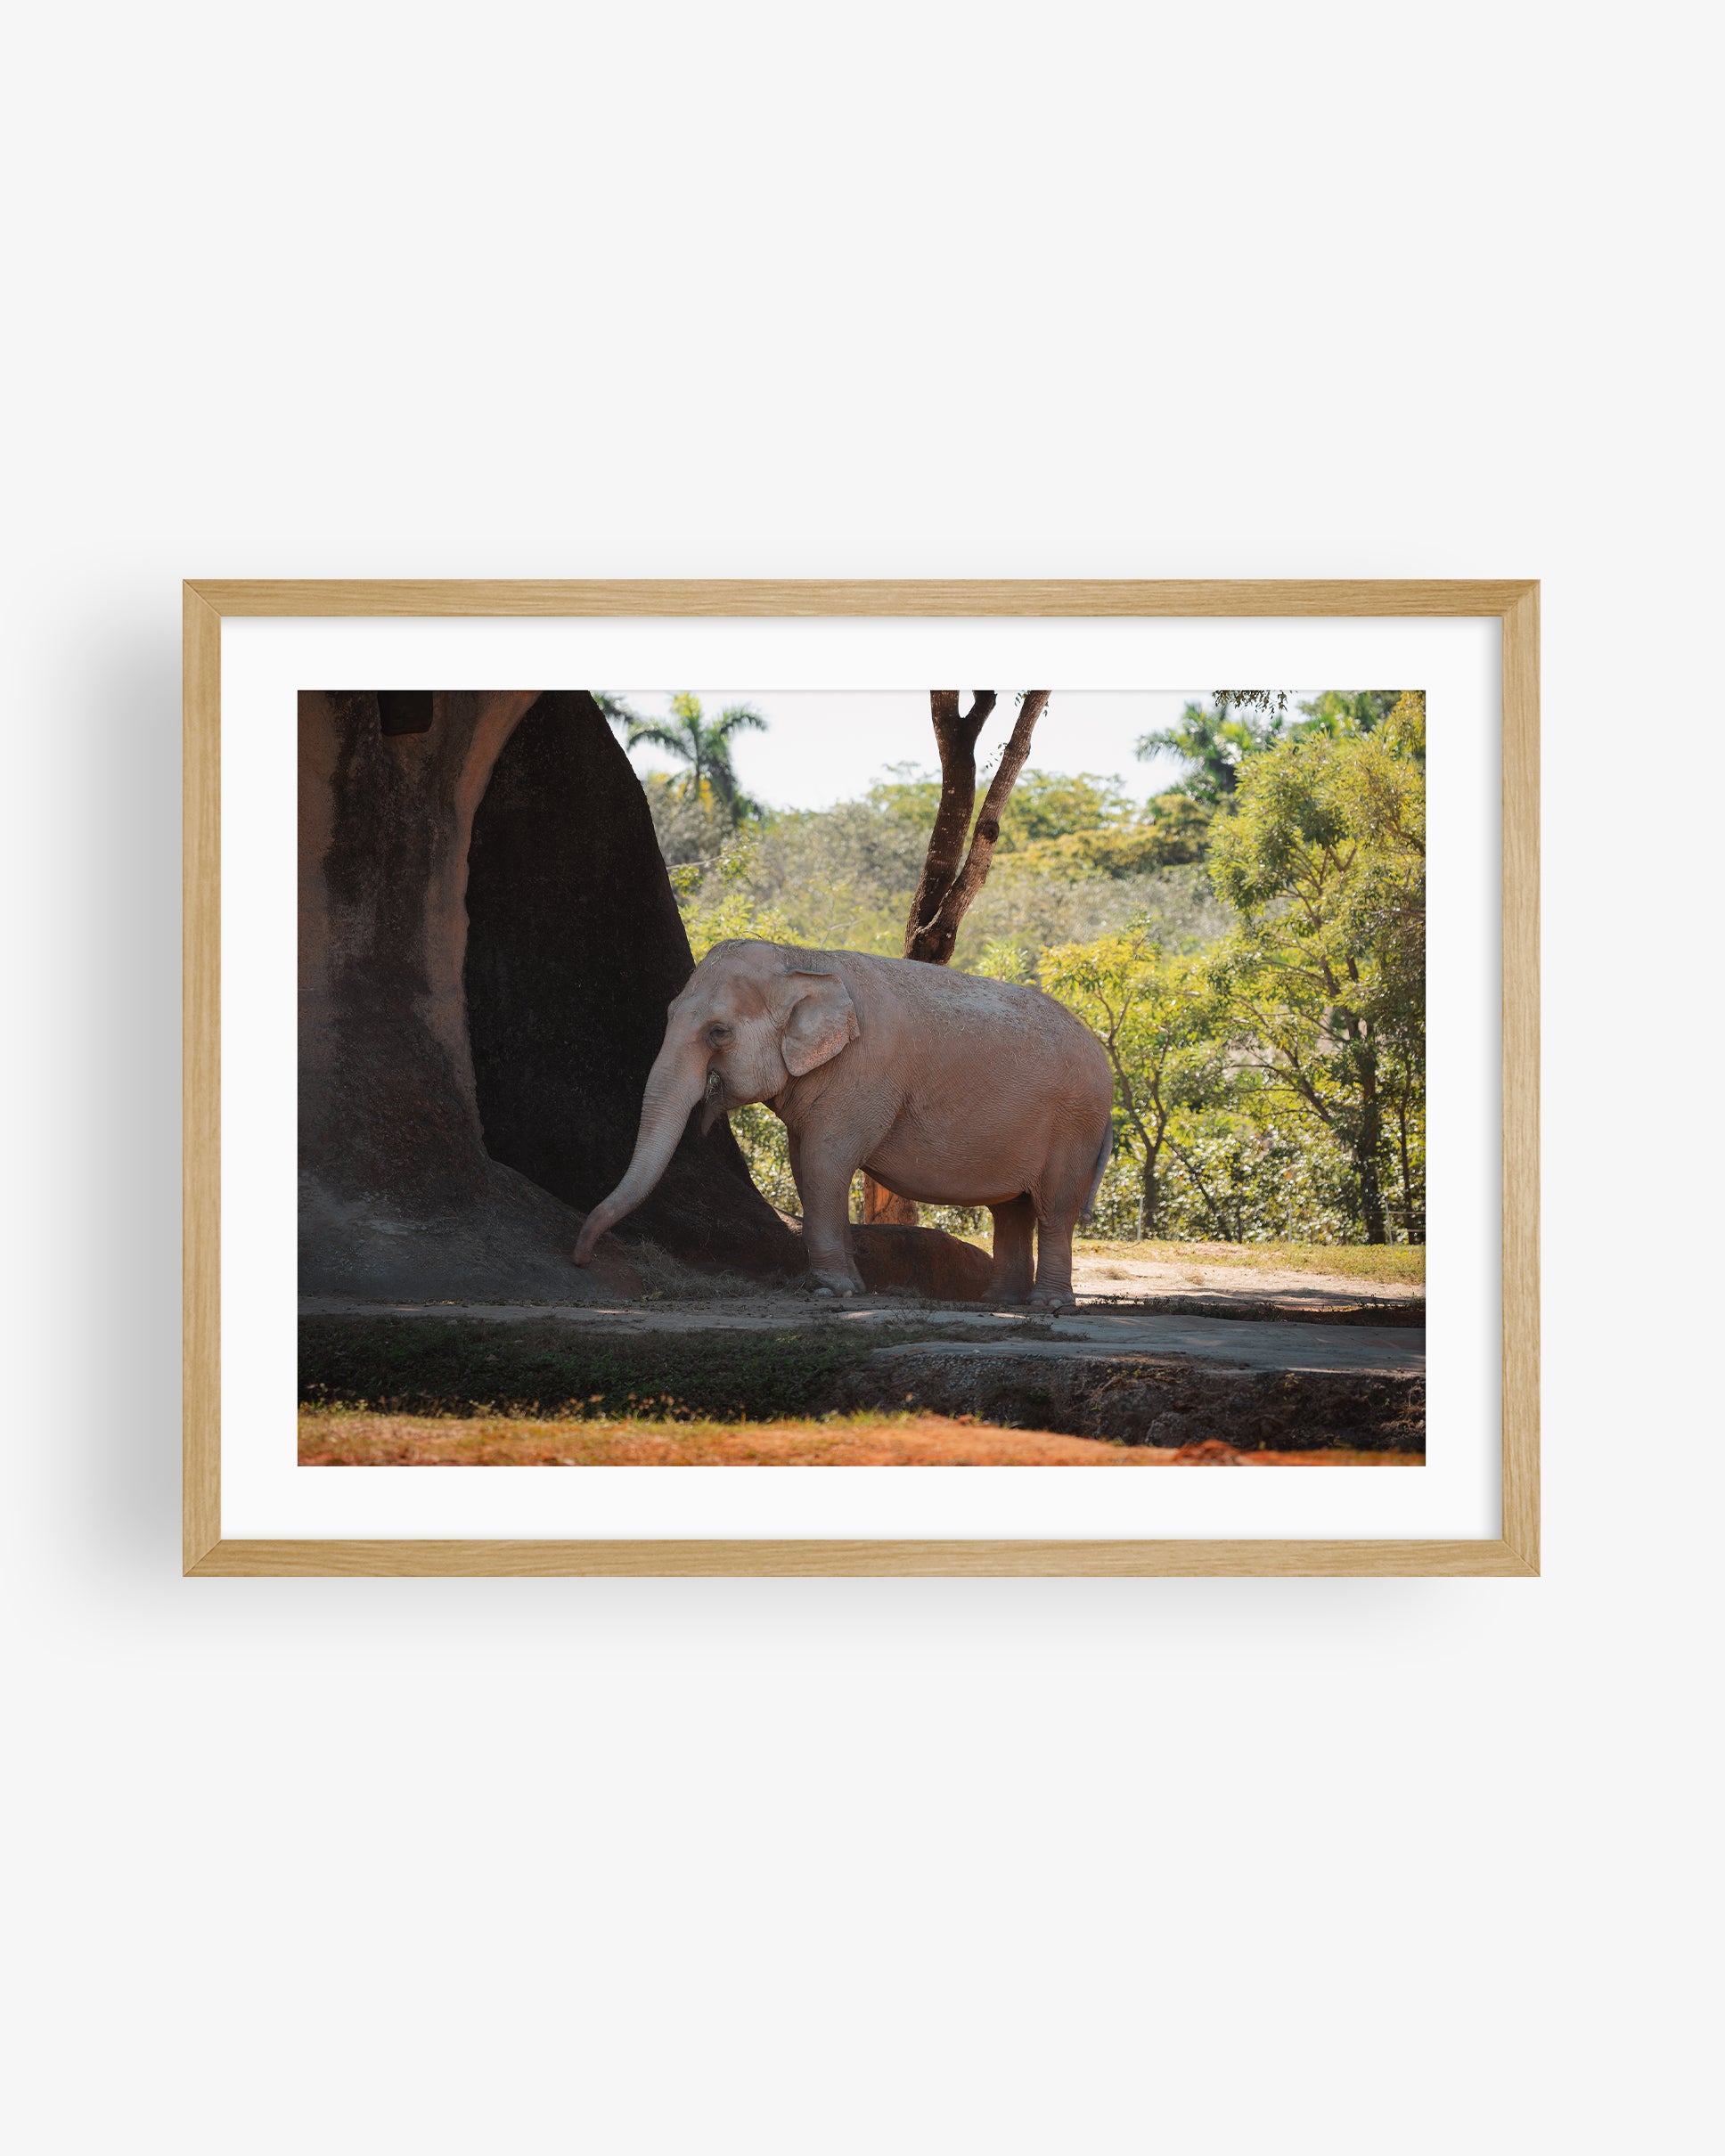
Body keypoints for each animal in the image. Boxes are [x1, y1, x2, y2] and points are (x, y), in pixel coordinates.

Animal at [573, 938, 1115, 1308]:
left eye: (718, 1032)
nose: (582, 1258)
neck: (802, 960)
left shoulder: (863, 1075)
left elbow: (824, 1163)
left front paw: (833, 1293)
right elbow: (805, 1163)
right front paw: (849, 1289)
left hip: (1076, 1123)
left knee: (1054, 1207)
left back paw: (1047, 1304)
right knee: (1012, 1209)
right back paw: (998, 1303)